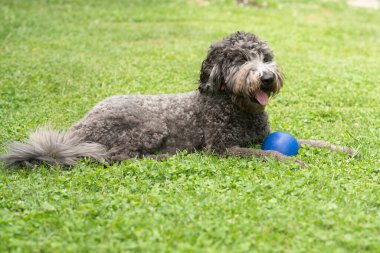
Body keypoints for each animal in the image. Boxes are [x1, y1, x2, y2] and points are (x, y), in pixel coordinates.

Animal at [0, 32, 354, 168]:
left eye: (265, 57)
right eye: (241, 59)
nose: (266, 77)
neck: (235, 106)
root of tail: (76, 128)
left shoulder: (260, 136)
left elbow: (312, 140)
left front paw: (344, 149)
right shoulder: (222, 149)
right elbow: (267, 154)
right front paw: (292, 161)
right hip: (150, 125)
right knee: (117, 157)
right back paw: (162, 157)